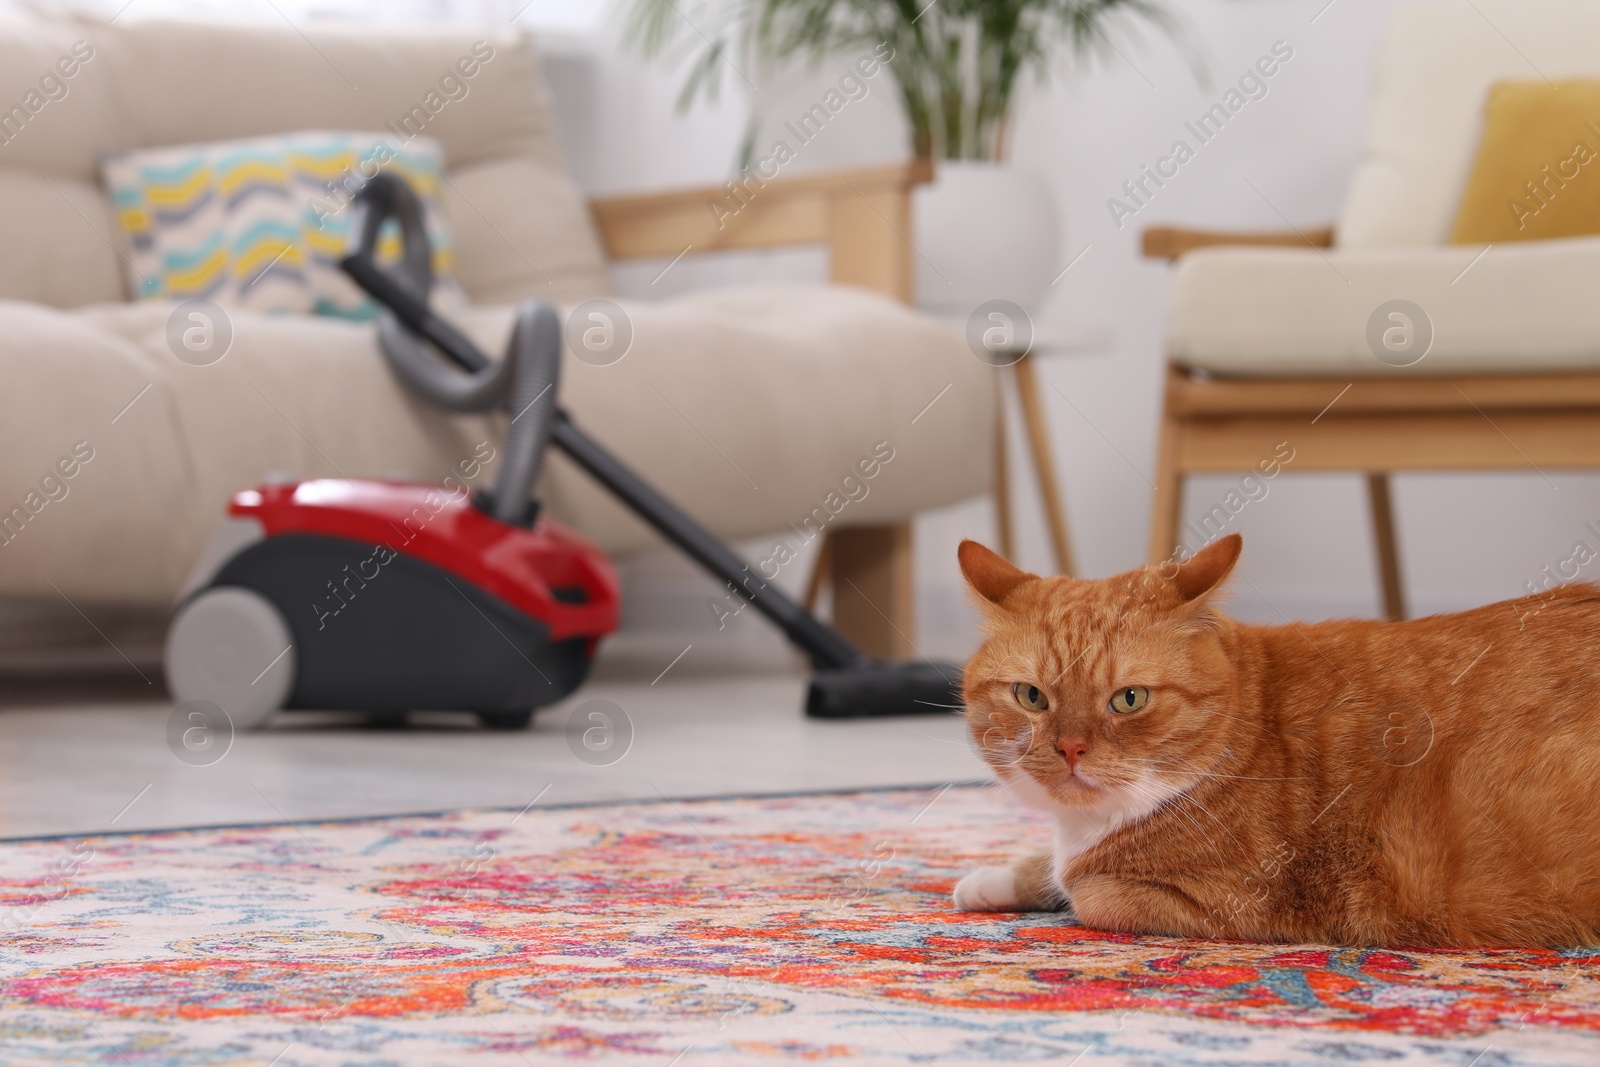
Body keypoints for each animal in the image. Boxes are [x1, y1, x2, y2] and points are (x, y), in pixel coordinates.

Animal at [947, 537, 1600, 947]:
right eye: (1031, 697)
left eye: (1129, 699)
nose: (1071, 749)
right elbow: (1047, 868)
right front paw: (992, 880)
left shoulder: (1232, 900)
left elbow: (1085, 891)